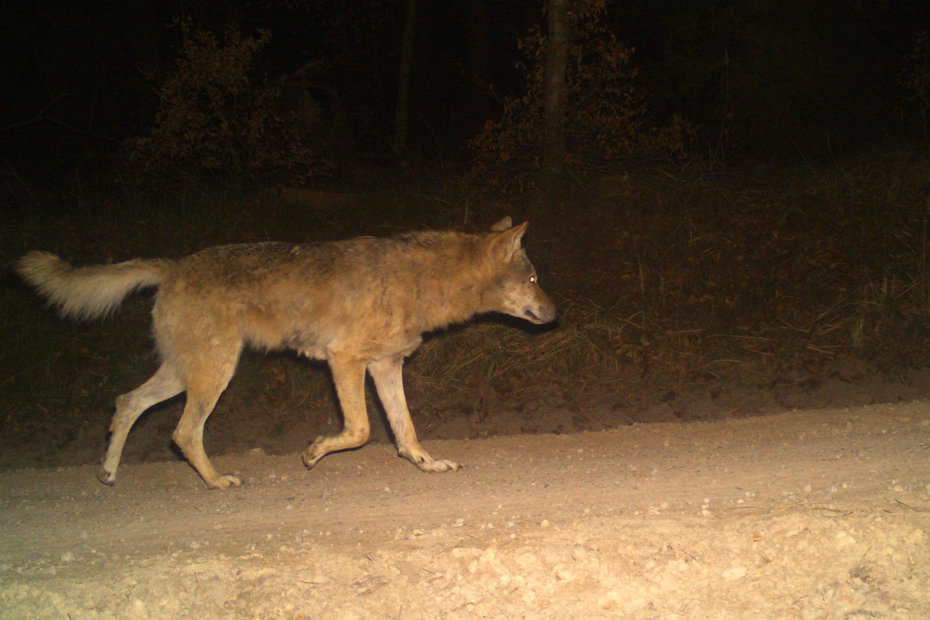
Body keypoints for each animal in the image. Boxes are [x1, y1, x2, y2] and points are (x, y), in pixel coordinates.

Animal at [16, 218, 552, 490]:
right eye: (532, 278)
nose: (556, 312)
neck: (423, 282)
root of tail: (174, 265)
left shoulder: (385, 365)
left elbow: (405, 431)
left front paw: (427, 464)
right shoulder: (344, 361)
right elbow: (359, 431)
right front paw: (313, 452)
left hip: (185, 373)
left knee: (126, 403)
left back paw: (108, 471)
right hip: (215, 374)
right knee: (183, 432)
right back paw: (217, 482)